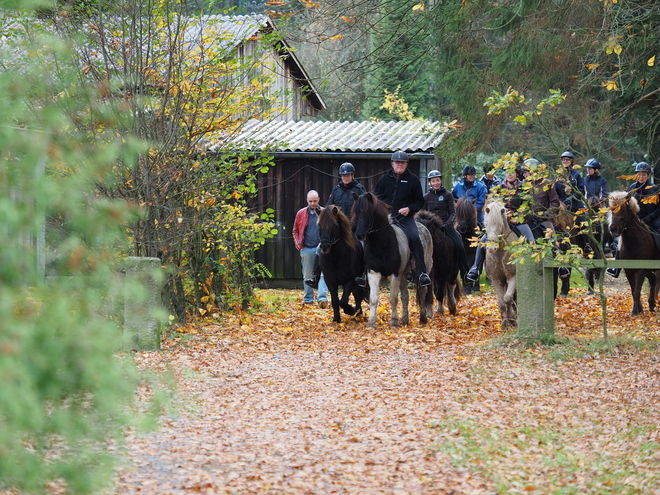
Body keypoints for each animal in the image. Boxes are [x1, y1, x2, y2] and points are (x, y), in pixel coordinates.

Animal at [354, 194, 436, 330]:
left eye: (368, 212)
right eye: (355, 211)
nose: (359, 235)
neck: (381, 244)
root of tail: (424, 227)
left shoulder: (395, 274)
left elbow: (393, 298)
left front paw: (393, 322)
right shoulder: (373, 274)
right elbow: (373, 299)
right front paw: (371, 324)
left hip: (423, 269)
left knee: (422, 290)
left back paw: (423, 318)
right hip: (403, 274)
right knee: (405, 296)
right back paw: (405, 320)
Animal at [482, 202, 520, 330]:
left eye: (500, 225)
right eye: (486, 224)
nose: (491, 249)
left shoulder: (513, 277)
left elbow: (508, 298)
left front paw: (513, 318)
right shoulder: (496, 280)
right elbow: (502, 302)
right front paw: (505, 322)